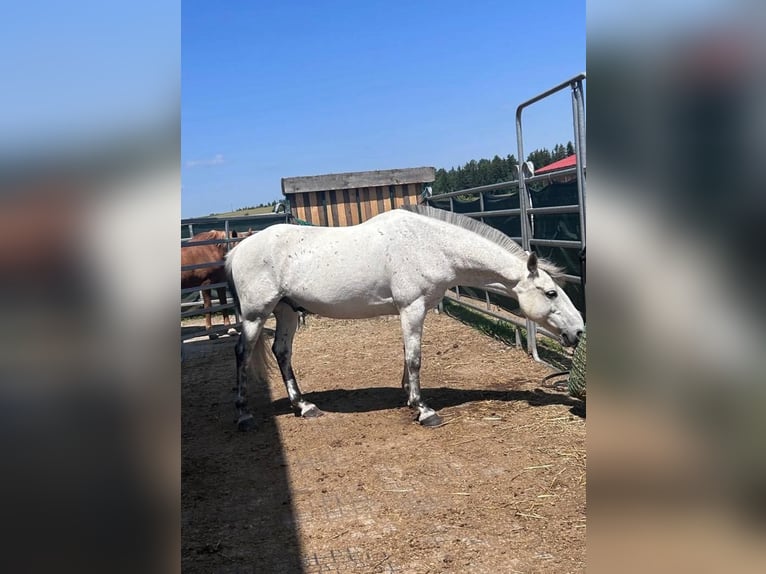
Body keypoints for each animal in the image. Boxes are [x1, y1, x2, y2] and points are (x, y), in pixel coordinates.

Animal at [225, 205, 584, 430]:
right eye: (551, 293)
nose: (578, 331)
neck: (431, 245)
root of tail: (237, 250)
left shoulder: (411, 310)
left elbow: (406, 355)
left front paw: (408, 397)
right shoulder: (411, 307)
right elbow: (414, 358)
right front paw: (423, 410)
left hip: (286, 310)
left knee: (282, 353)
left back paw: (304, 407)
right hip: (256, 315)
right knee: (242, 354)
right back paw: (243, 416)